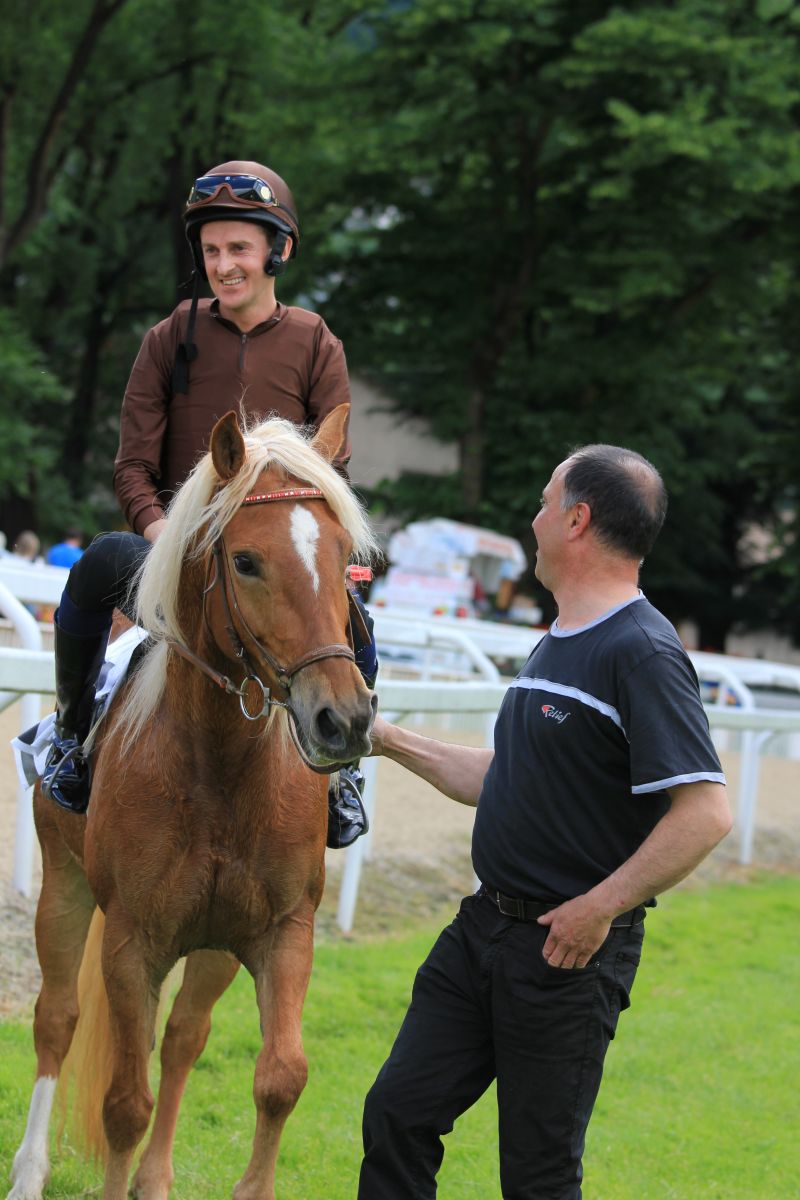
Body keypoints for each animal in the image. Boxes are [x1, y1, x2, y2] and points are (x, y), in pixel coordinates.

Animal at [7, 404, 378, 1200]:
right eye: (246, 561)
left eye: (345, 562)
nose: (343, 719)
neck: (222, 773)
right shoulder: (131, 942)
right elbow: (124, 1102)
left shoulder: (281, 931)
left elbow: (281, 1077)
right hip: (65, 884)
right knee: (58, 1019)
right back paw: (28, 1172)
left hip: (214, 944)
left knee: (182, 1038)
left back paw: (155, 1179)